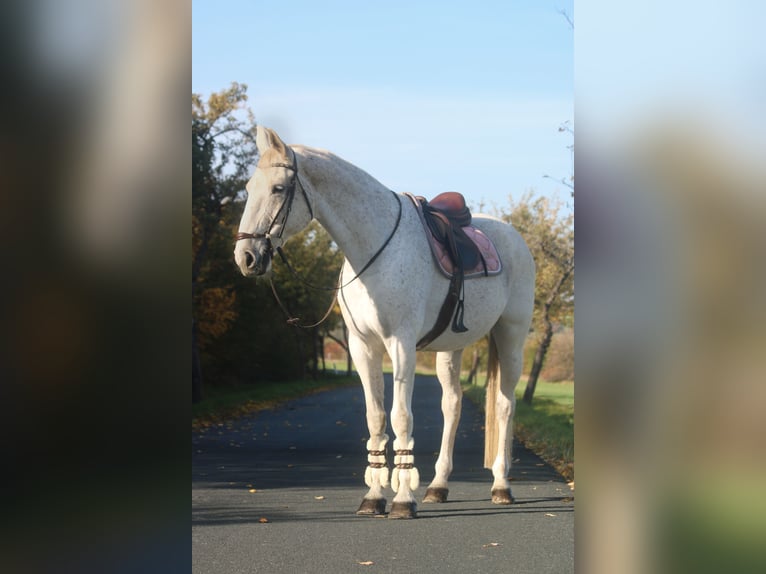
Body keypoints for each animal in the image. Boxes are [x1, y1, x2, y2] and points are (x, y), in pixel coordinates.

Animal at [234, 127, 536, 520]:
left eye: (278, 189)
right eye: (248, 187)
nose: (246, 257)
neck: (373, 249)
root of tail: (514, 237)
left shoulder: (401, 345)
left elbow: (401, 417)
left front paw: (403, 500)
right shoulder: (363, 347)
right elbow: (376, 418)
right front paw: (374, 497)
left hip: (511, 336)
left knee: (504, 405)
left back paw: (501, 486)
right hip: (451, 348)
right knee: (452, 405)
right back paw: (438, 486)